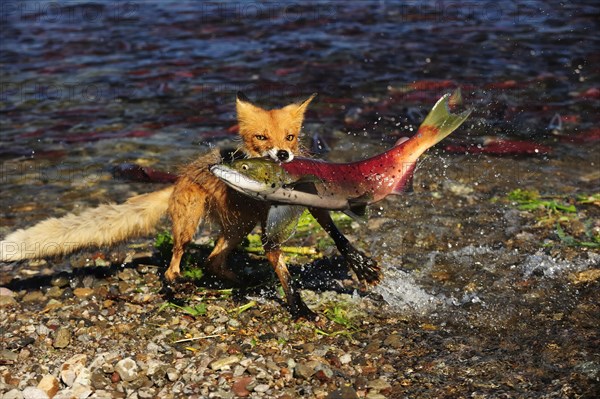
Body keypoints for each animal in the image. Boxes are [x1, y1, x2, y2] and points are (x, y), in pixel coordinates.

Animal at [1, 93, 380, 318]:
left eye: (289, 136)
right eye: (261, 137)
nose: (283, 155)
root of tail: (179, 177)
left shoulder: (309, 202)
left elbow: (337, 236)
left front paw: (361, 266)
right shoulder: (270, 232)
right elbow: (286, 275)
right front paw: (298, 308)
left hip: (238, 228)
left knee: (213, 260)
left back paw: (240, 283)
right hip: (192, 224)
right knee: (174, 266)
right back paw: (178, 293)